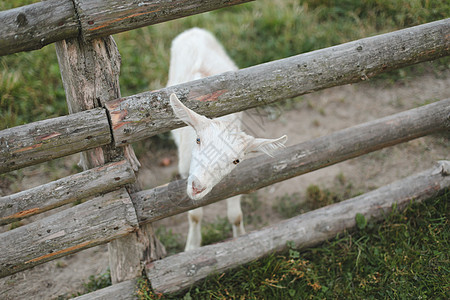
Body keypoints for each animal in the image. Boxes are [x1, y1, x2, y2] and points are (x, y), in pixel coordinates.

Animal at [169, 29, 288, 252]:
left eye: (236, 160)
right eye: (198, 140)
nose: (198, 186)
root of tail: (194, 30)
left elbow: (236, 215)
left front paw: (240, 238)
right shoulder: (185, 169)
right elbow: (194, 215)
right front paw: (192, 246)